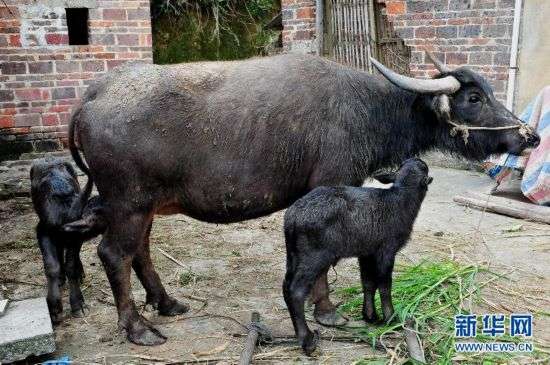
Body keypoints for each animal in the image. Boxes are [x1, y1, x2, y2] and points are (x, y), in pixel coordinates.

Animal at [284, 158, 436, 354]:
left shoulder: (367, 252)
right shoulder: (386, 251)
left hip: (293, 253)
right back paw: (307, 340)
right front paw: (390, 318)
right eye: (424, 168)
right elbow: (385, 285)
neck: (401, 198)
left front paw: (370, 316)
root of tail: (293, 217)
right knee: (296, 291)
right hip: (313, 256)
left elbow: (368, 283)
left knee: (286, 287)